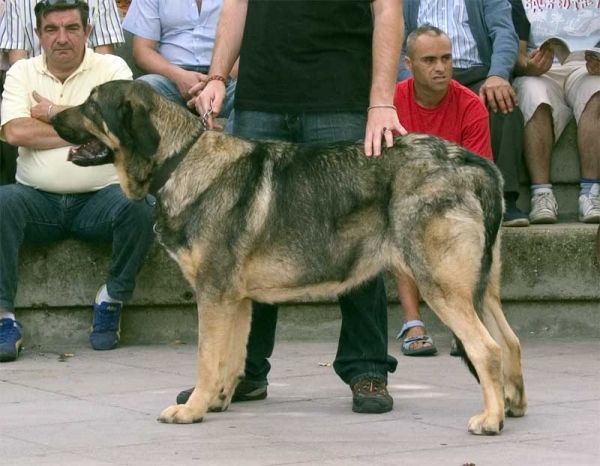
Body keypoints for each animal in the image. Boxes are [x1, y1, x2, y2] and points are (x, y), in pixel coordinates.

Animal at [54, 80, 528, 434]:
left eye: (91, 105)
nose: (51, 115)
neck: (181, 161)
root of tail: (476, 165)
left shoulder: (213, 296)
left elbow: (207, 359)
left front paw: (192, 410)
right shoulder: (237, 301)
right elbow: (230, 360)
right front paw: (219, 401)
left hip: (442, 287)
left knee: (486, 349)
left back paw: (490, 419)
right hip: (480, 289)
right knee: (510, 341)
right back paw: (512, 405)